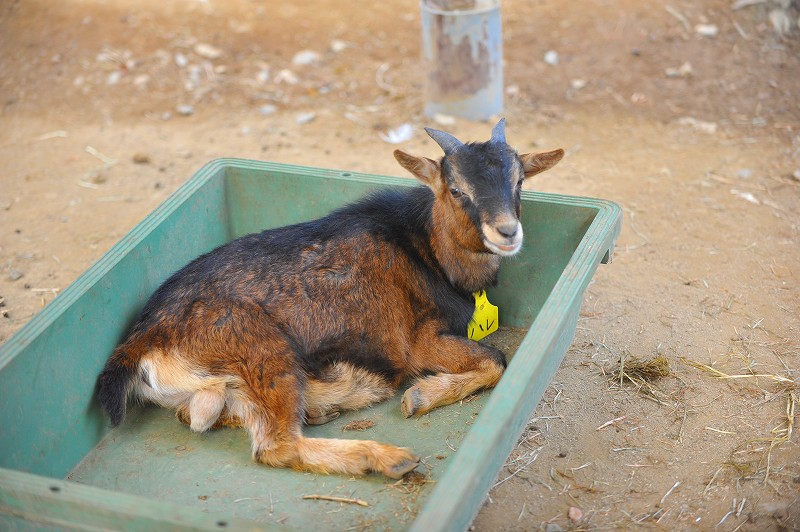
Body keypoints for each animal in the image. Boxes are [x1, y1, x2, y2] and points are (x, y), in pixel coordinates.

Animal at [97, 119, 564, 478]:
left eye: (519, 181)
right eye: (456, 189)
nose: (507, 232)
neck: (422, 247)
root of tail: (143, 340)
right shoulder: (418, 342)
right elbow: (497, 360)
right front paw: (419, 397)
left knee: (196, 416)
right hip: (264, 350)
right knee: (277, 445)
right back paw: (383, 457)